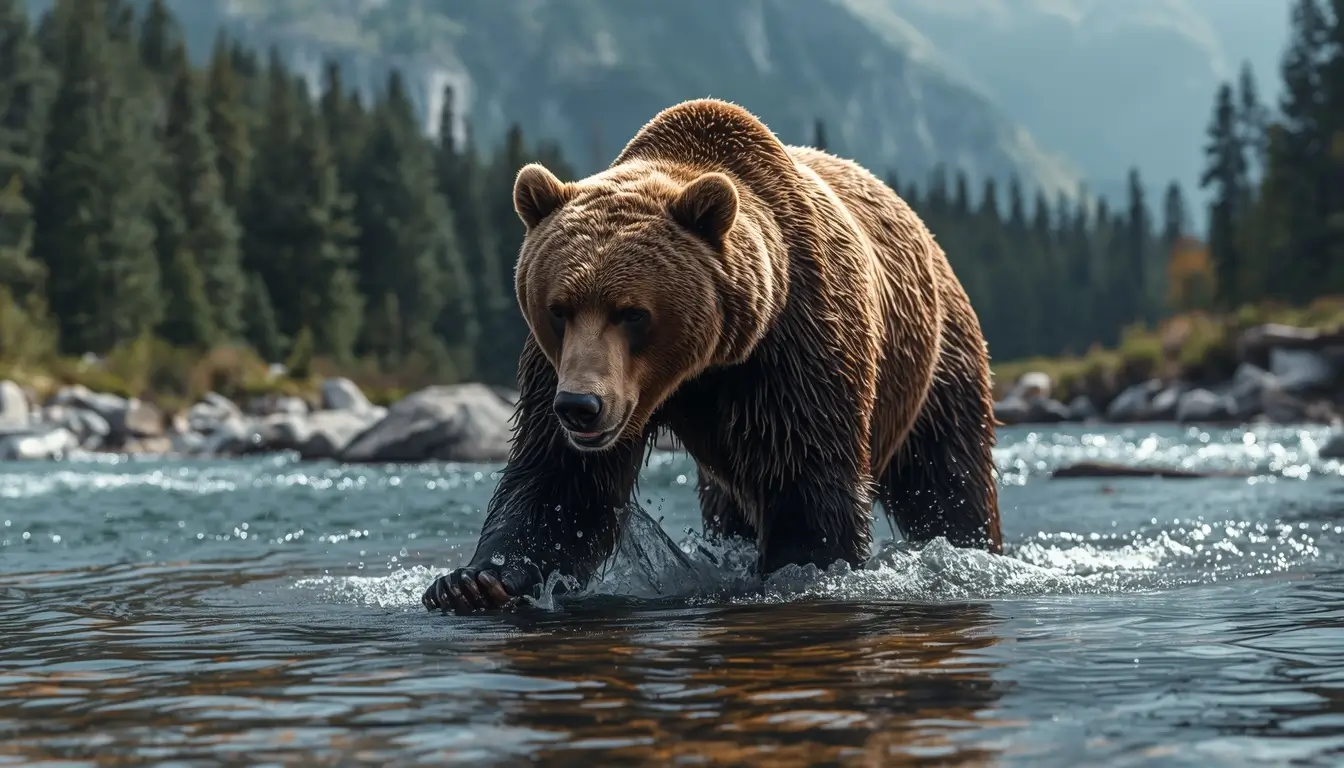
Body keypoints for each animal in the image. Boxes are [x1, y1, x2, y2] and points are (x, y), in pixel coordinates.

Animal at [422, 98, 1002, 615]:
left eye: (632, 313)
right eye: (559, 308)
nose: (581, 407)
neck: (702, 367)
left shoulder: (794, 351)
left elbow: (807, 476)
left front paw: (802, 569)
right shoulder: (558, 366)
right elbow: (559, 483)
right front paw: (471, 583)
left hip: (936, 362)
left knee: (949, 477)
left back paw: (973, 545)